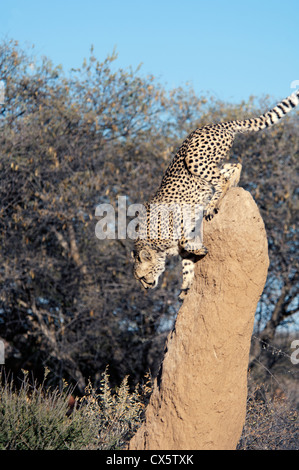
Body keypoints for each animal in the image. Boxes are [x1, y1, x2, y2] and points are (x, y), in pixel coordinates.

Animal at [133, 90, 299, 300]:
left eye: (142, 276)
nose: (146, 287)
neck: (157, 246)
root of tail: (216, 124)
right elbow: (187, 263)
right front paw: (186, 287)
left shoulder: (182, 217)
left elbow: (184, 240)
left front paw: (200, 251)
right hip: (211, 162)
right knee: (234, 165)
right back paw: (233, 184)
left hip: (194, 158)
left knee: (221, 180)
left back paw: (213, 204)